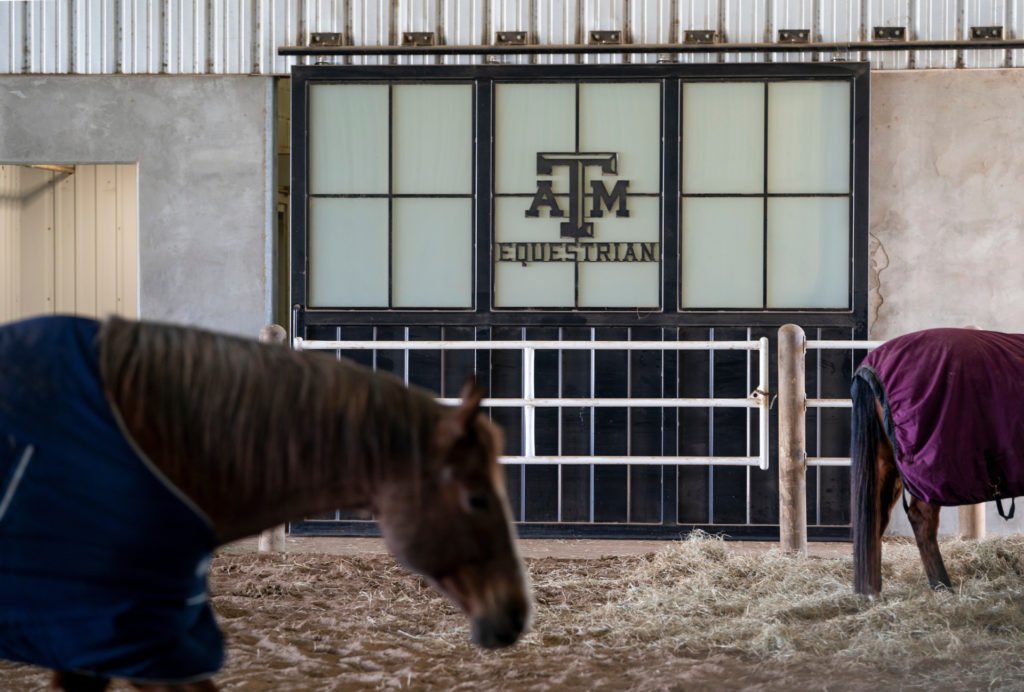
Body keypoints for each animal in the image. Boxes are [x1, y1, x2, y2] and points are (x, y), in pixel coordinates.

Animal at [847, 327, 1024, 593]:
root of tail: (870, 368)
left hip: (887, 465)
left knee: (875, 519)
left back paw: (870, 589)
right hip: (927, 474)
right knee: (921, 519)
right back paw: (942, 585)